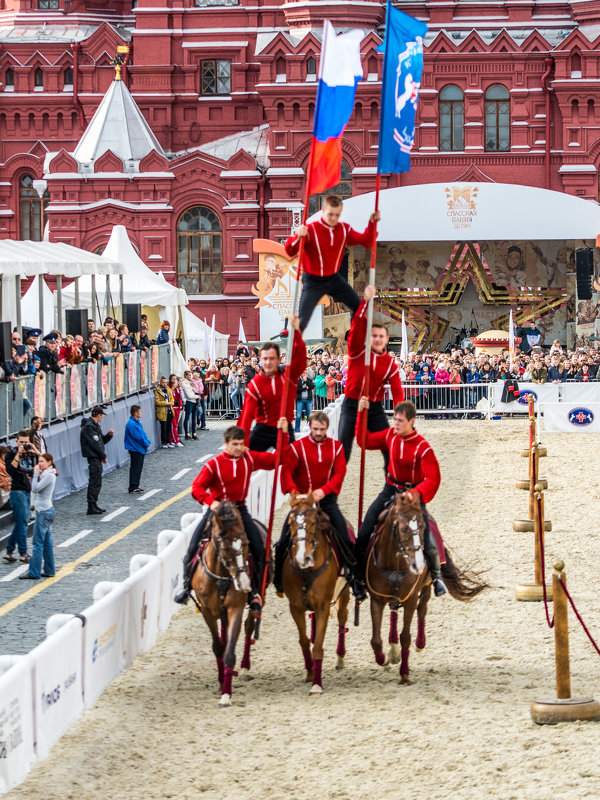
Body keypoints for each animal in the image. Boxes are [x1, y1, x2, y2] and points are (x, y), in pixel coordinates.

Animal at [190, 500, 260, 708]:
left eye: (246, 544)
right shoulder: (206, 610)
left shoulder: (235, 609)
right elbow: (218, 647)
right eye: (226, 547)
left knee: (248, 626)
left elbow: (229, 651)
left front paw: (226, 694)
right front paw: (222, 684)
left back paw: (244, 668)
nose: (244, 584)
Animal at [282, 490, 352, 696]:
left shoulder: (323, 606)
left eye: (313, 522)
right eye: (291, 523)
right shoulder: (295, 607)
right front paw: (309, 672)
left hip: (344, 593)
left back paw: (340, 658)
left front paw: (316, 685)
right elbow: (304, 641)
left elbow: (319, 646)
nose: (302, 558)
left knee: (342, 617)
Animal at [366, 490, 488, 684]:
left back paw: (420, 644)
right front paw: (383, 659)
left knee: (422, 610)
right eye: (403, 529)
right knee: (394, 611)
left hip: (426, 589)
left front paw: (404, 674)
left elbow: (405, 636)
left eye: (423, 527)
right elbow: (376, 640)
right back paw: (393, 650)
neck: (395, 564)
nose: (419, 564)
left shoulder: (410, 599)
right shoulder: (376, 599)